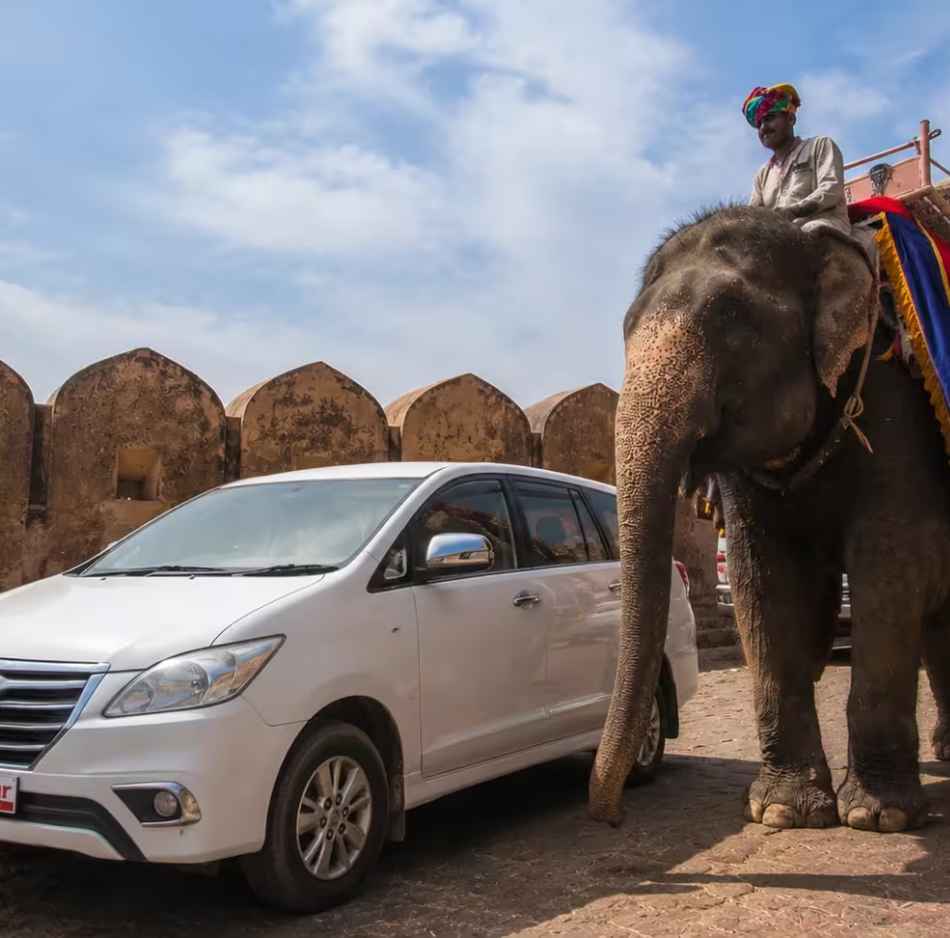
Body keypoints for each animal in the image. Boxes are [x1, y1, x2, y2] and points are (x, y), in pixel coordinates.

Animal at [588, 205, 950, 833]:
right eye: (626, 327)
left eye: (730, 317)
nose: (607, 816)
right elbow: (760, 579)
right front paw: (782, 810)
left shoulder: (897, 409)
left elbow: (888, 570)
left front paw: (878, 818)